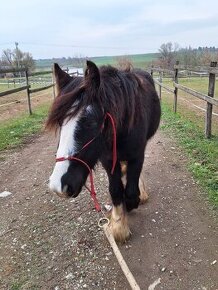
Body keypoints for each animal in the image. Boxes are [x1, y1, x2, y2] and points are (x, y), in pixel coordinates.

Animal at [47, 60, 160, 242]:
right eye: (59, 122)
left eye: (91, 122)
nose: (59, 185)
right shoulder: (108, 159)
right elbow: (115, 190)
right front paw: (118, 224)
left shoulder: (137, 155)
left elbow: (130, 192)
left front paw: (130, 206)